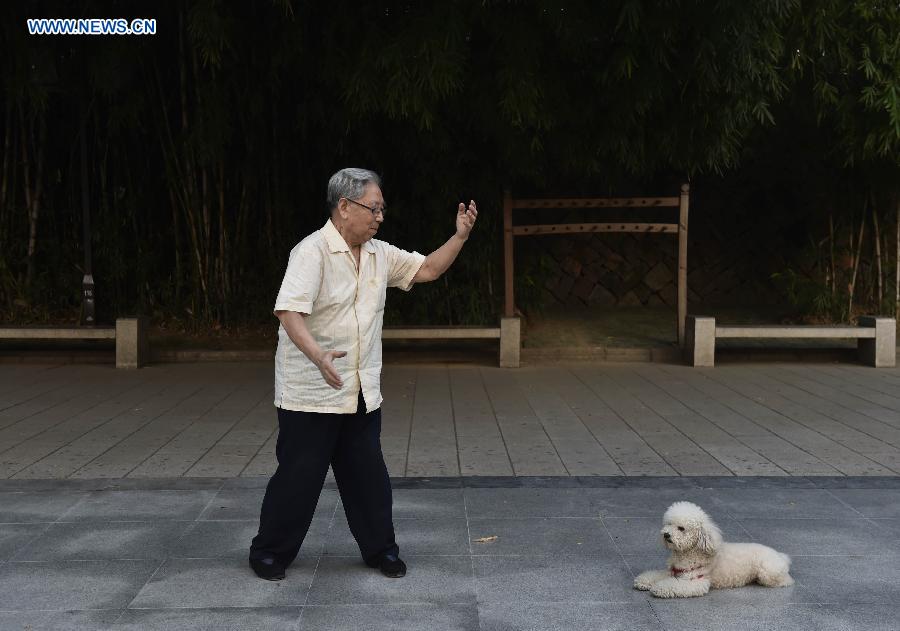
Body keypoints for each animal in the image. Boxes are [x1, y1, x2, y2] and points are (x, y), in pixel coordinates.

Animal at [632, 504, 796, 596]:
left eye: (681, 528)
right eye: (668, 524)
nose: (666, 535)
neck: (690, 552)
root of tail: (781, 556)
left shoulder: (697, 582)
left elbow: (672, 585)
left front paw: (659, 588)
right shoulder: (672, 571)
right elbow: (656, 575)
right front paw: (644, 581)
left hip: (768, 571)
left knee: (785, 581)